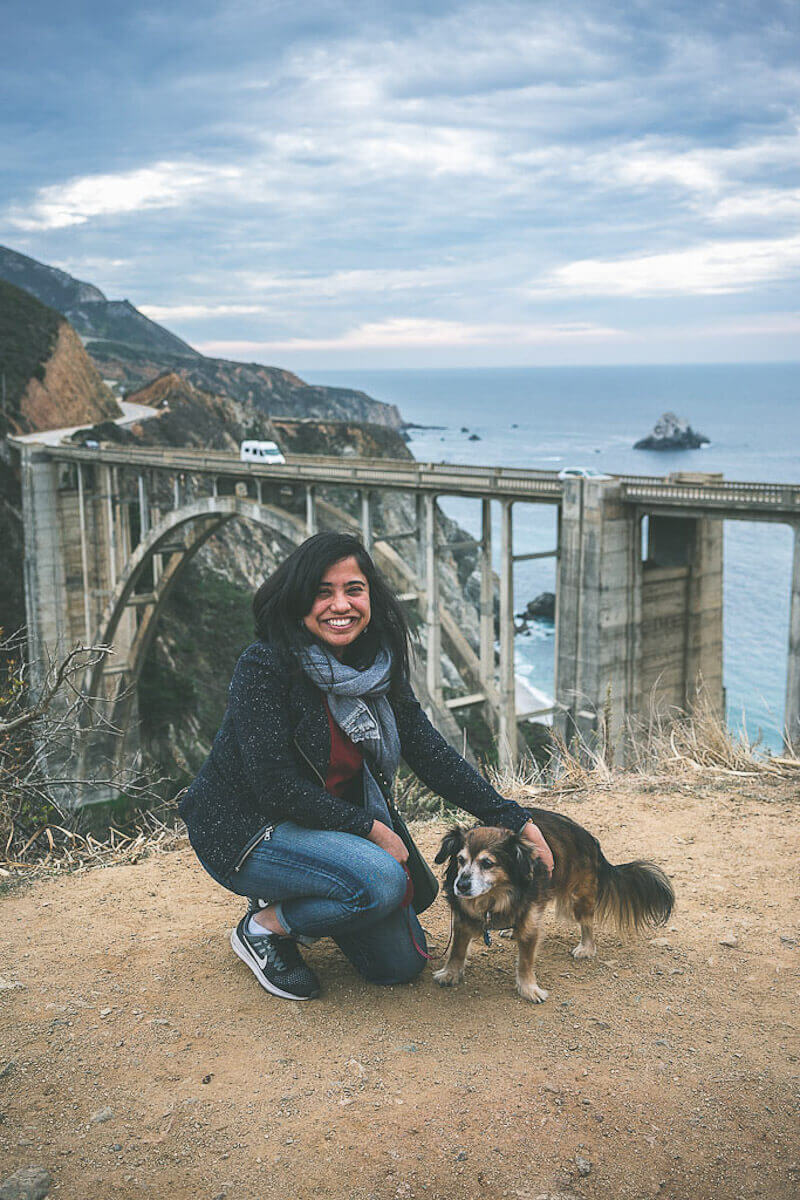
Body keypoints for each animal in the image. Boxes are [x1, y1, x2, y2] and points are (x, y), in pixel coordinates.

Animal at [431, 811, 676, 998]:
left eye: (487, 863)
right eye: (460, 860)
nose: (461, 886)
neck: (495, 896)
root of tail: (591, 841)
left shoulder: (531, 919)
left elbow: (525, 960)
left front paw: (528, 988)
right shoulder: (462, 917)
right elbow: (457, 949)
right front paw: (450, 973)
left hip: (579, 897)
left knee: (587, 923)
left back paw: (586, 947)